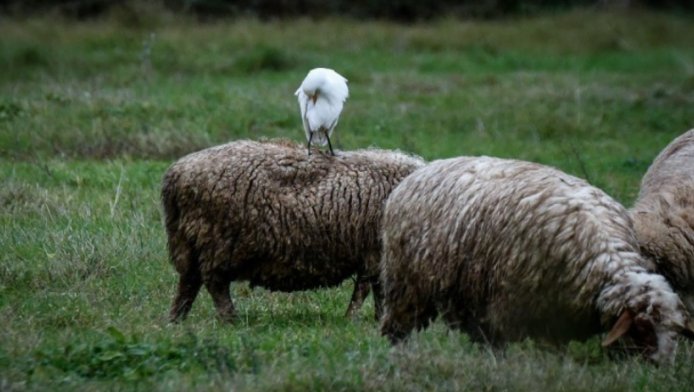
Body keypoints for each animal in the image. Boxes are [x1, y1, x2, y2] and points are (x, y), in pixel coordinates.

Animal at [163, 139, 424, 324]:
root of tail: (175, 174)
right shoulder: (373, 253)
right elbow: (367, 289)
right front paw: (354, 319)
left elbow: (377, 289)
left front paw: (376, 319)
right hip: (216, 240)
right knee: (214, 283)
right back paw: (230, 320)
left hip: (189, 241)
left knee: (189, 282)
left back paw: (176, 320)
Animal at [380, 156, 694, 364]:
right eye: (642, 329)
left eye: (676, 332)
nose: (659, 368)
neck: (606, 259)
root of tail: (424, 168)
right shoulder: (516, 303)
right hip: (407, 284)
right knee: (398, 327)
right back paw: (397, 354)